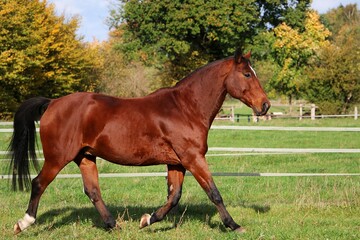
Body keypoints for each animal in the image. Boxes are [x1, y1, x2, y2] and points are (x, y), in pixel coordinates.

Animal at [8, 50, 268, 234]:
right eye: (247, 74)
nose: (264, 106)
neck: (186, 108)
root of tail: (52, 103)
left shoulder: (177, 162)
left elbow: (174, 197)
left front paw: (147, 220)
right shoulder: (193, 158)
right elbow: (214, 193)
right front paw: (234, 225)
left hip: (86, 157)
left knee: (93, 191)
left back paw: (113, 225)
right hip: (57, 158)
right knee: (38, 183)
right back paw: (24, 223)